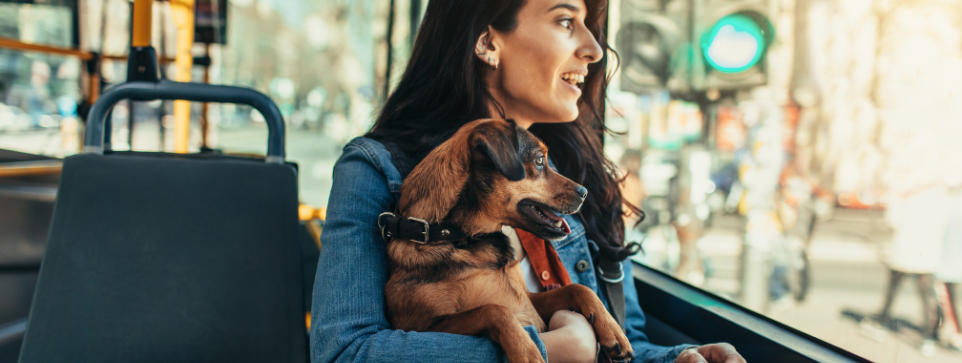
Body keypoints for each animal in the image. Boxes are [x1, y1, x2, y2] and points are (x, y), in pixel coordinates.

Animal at [378, 119, 632, 363]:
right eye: (539, 161)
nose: (585, 192)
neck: (458, 236)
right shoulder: (422, 327)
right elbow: (493, 310)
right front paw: (528, 353)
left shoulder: (530, 298)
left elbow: (578, 289)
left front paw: (614, 331)